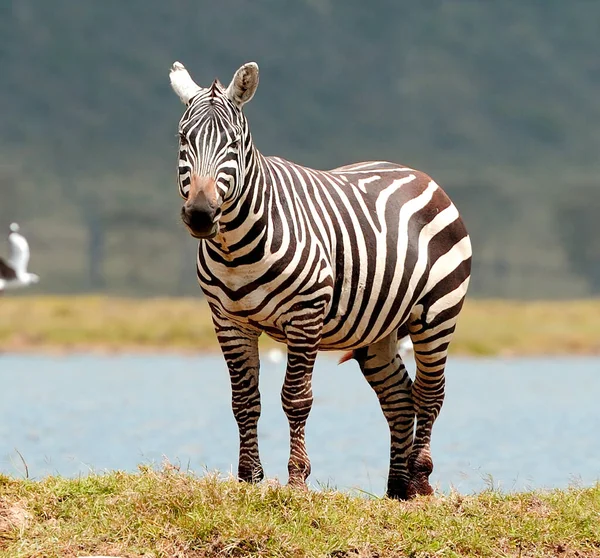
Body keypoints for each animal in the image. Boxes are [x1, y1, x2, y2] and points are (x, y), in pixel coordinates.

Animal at [168, 61, 468, 504]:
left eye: (234, 144)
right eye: (183, 139)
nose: (201, 215)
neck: (236, 248)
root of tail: (416, 172)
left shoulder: (305, 314)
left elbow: (296, 398)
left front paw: (296, 479)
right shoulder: (228, 321)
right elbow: (244, 400)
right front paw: (249, 478)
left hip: (437, 313)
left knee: (429, 392)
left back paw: (419, 478)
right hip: (376, 330)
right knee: (398, 398)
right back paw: (396, 488)